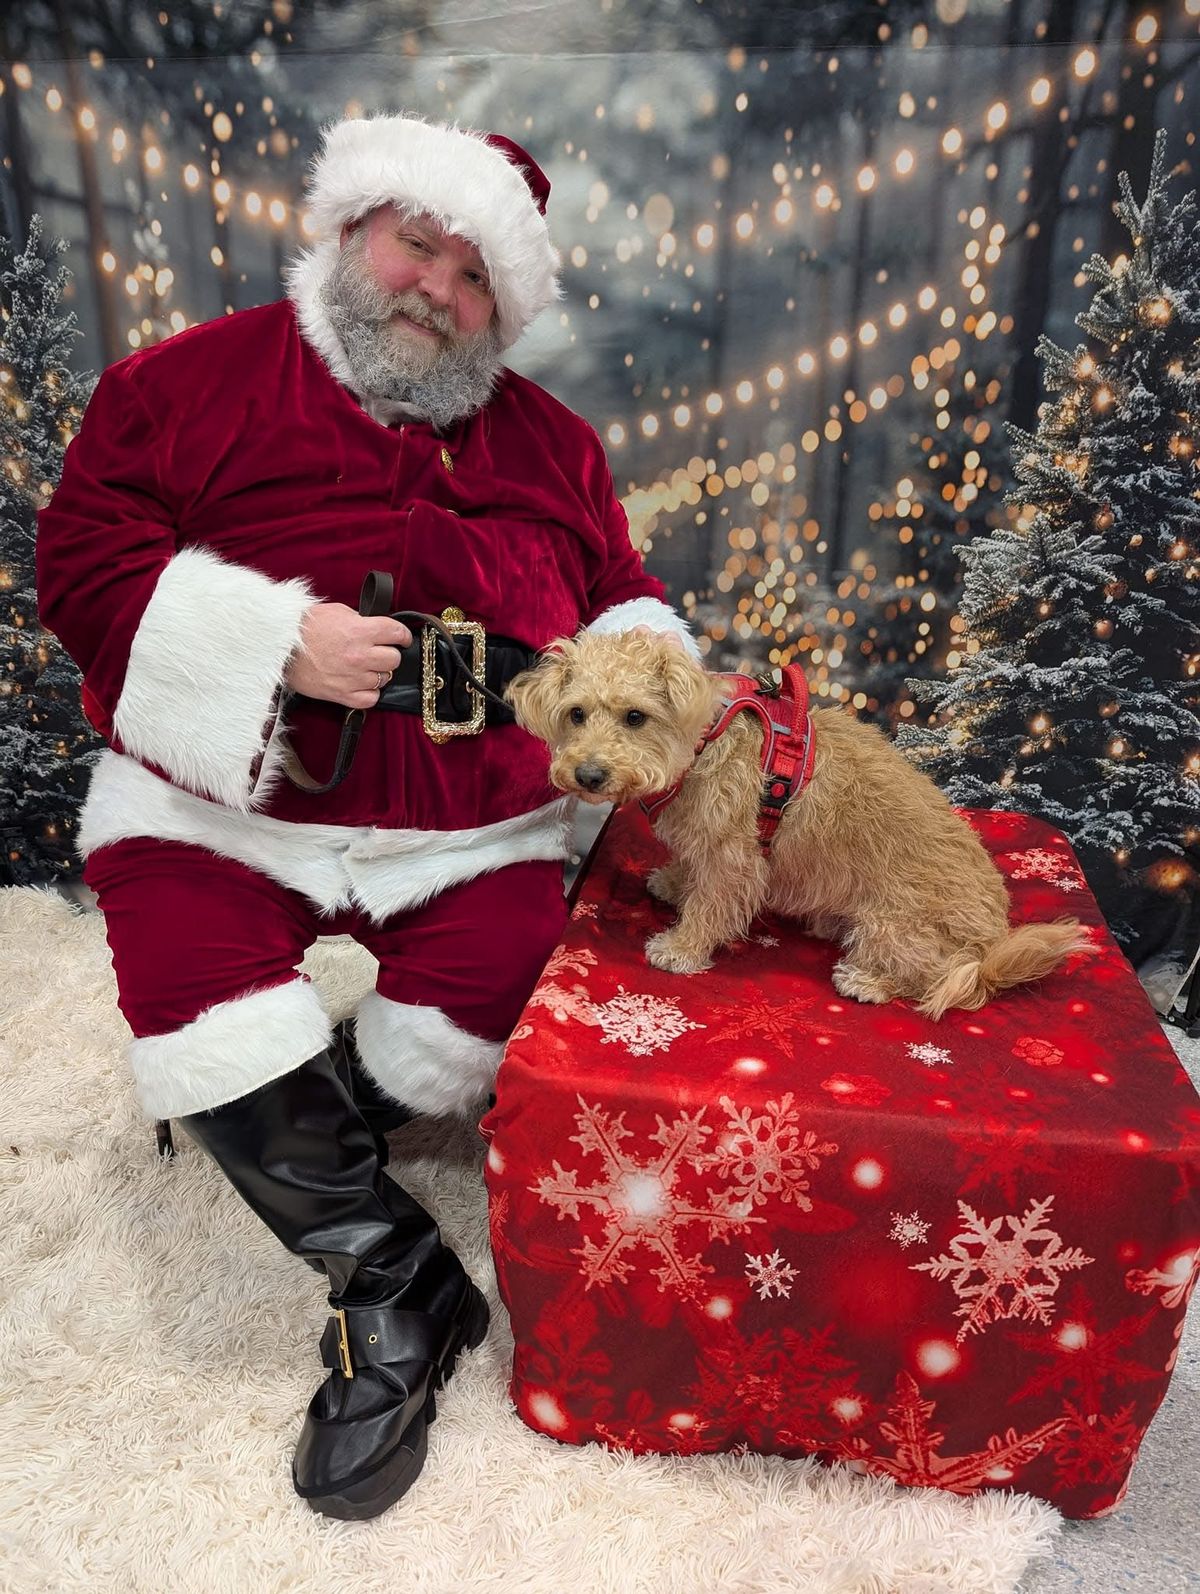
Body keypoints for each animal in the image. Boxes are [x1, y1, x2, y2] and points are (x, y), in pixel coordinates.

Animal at [506, 624, 1083, 1013]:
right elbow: (690, 870)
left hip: (894, 928)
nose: (589, 774)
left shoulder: (734, 858)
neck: (705, 744)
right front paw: (674, 882)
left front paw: (681, 946)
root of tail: (994, 940)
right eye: (576, 713)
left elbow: (710, 904)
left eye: (634, 717)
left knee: (945, 980)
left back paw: (869, 981)